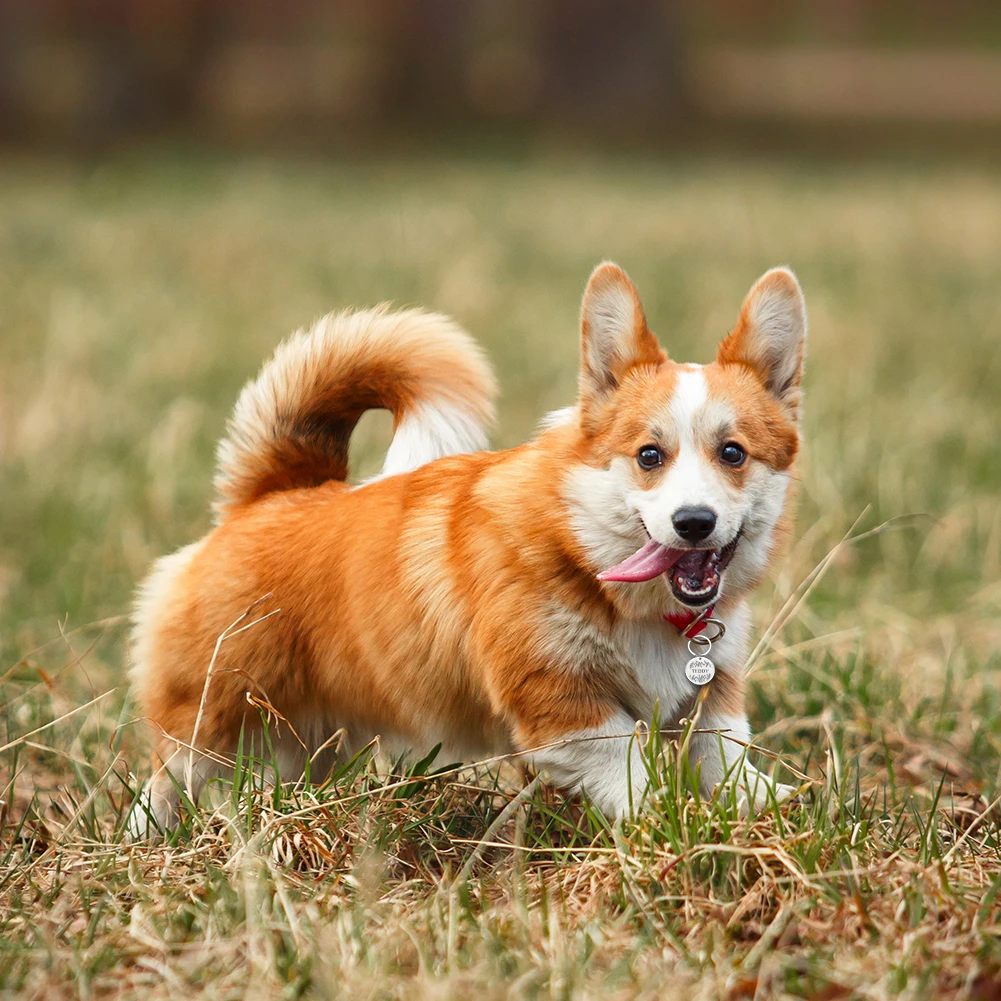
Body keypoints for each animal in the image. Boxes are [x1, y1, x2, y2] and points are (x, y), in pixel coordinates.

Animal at [129, 262, 804, 832]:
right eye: (649, 456)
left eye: (733, 453)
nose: (694, 522)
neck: (588, 554)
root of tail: (272, 494)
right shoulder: (563, 708)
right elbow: (631, 776)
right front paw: (671, 823)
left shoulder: (710, 702)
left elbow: (727, 761)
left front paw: (769, 808)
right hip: (214, 715)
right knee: (168, 778)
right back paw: (147, 836)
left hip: (311, 735)